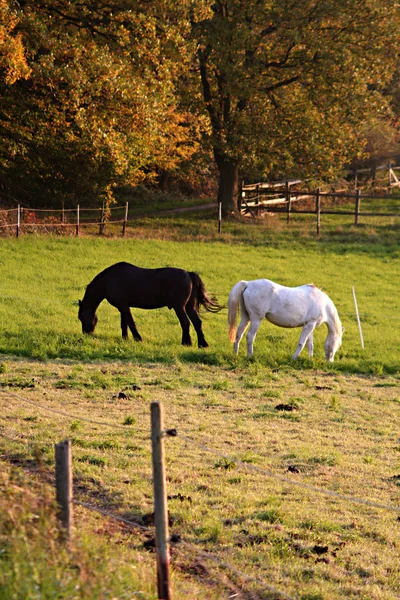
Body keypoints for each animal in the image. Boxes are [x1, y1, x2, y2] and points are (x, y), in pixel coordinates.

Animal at [78, 262, 222, 346]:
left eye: (81, 317)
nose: (86, 333)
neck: (109, 280)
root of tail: (189, 273)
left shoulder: (123, 306)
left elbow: (130, 323)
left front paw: (138, 338)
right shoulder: (123, 306)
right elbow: (124, 324)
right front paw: (125, 339)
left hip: (179, 307)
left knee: (185, 323)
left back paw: (186, 342)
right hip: (189, 306)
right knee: (197, 322)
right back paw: (202, 344)